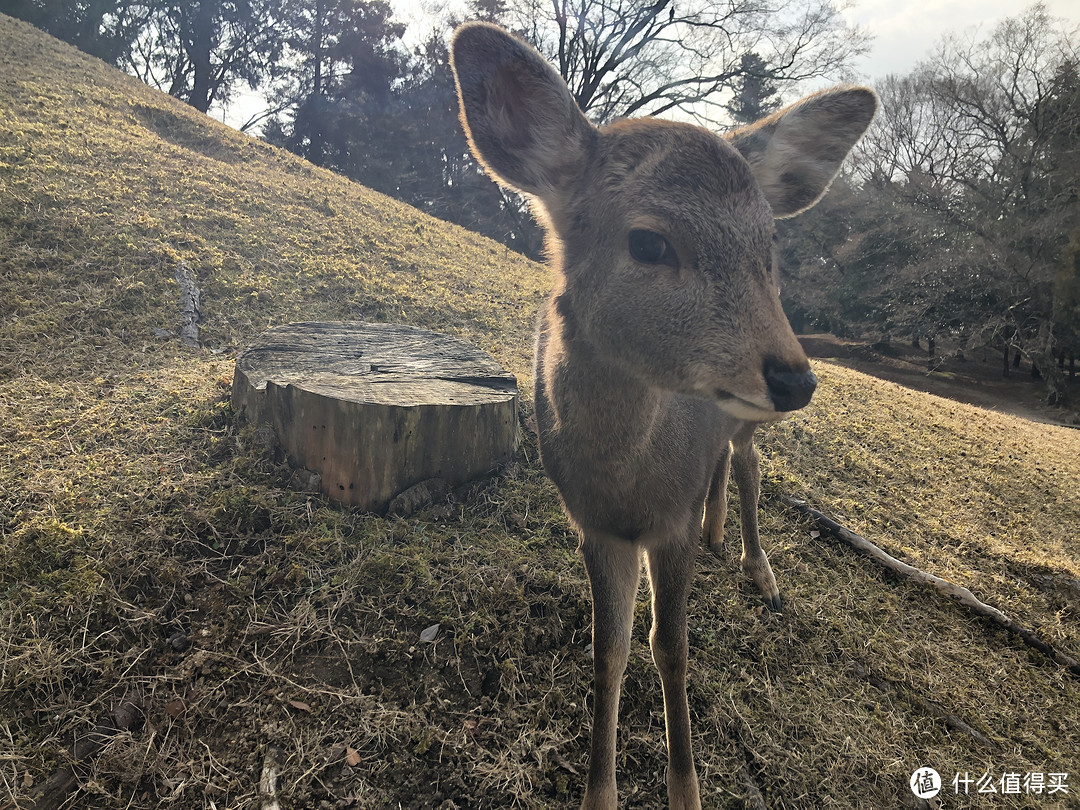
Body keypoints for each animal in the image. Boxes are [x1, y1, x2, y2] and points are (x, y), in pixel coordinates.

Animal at [449, 23, 876, 810]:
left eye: (767, 249)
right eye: (648, 241)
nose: (796, 378)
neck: (630, 487)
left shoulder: (665, 526)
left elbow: (670, 649)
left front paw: (687, 789)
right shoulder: (594, 525)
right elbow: (609, 649)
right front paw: (600, 793)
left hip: (747, 422)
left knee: (748, 463)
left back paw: (758, 568)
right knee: (725, 465)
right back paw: (720, 533)